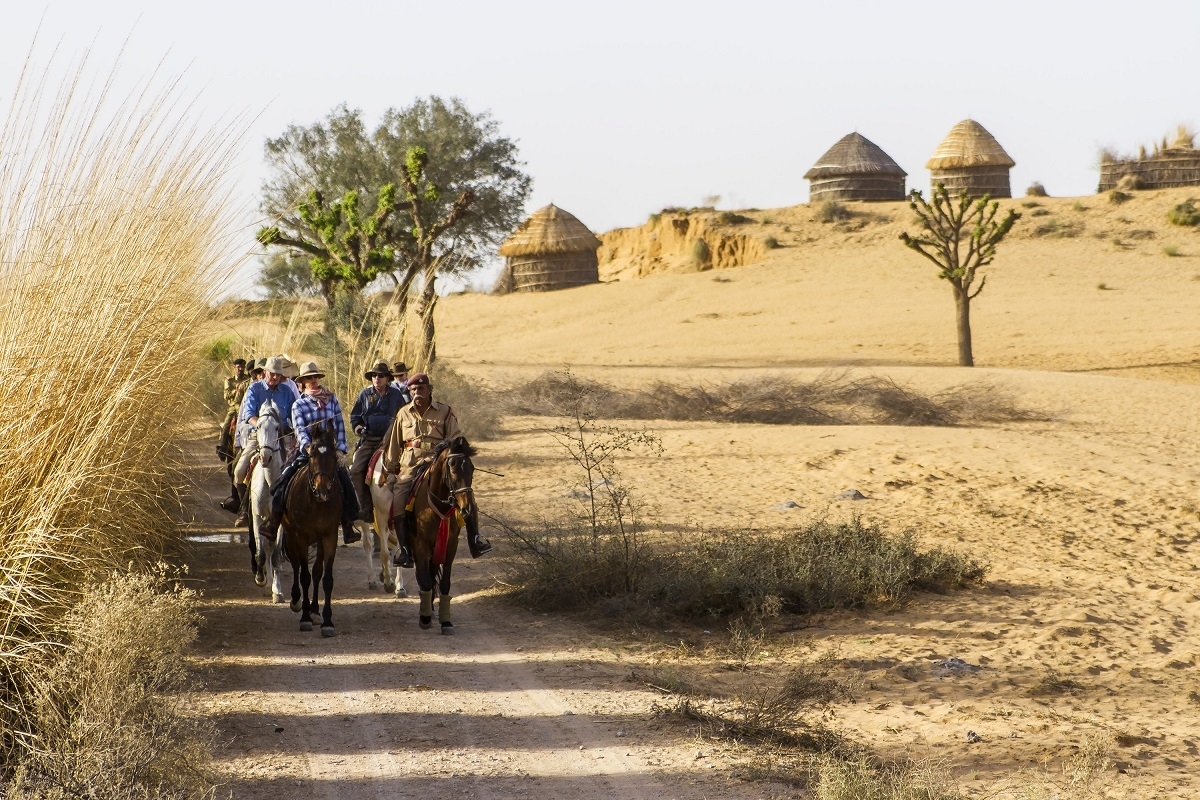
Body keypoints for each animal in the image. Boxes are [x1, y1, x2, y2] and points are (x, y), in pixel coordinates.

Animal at [280, 420, 342, 636]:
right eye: (312, 455)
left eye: (334, 457)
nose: (323, 490)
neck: (315, 502)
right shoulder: (301, 537)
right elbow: (304, 576)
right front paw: (305, 618)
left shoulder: (329, 536)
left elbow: (326, 577)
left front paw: (327, 621)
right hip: (291, 536)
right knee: (297, 566)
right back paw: (297, 602)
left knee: (316, 571)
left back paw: (315, 611)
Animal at [358, 451, 409, 598]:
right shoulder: (381, 517)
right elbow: (385, 552)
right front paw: (388, 583)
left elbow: (399, 551)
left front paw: (399, 587)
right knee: (368, 544)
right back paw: (372, 580)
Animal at [406, 435, 478, 634]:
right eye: (452, 468)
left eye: (471, 469)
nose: (467, 509)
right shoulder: (421, 545)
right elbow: (424, 580)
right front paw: (424, 619)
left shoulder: (450, 546)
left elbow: (444, 583)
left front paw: (446, 621)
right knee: (424, 576)